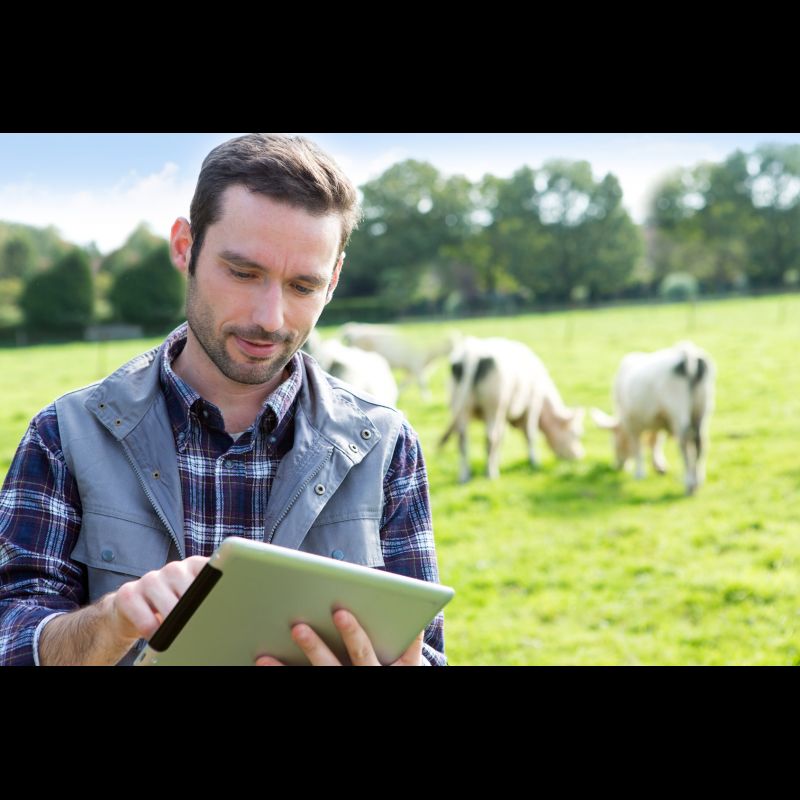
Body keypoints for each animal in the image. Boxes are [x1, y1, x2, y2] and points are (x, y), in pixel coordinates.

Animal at [440, 336, 584, 482]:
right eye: (576, 434)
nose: (579, 455)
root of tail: (472, 353)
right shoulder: (533, 404)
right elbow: (530, 434)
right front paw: (534, 461)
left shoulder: (504, 413)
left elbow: (502, 437)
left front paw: (498, 460)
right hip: (492, 406)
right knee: (490, 437)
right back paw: (491, 473)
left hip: (460, 406)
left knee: (462, 439)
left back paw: (465, 476)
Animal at [592, 340, 716, 494]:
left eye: (613, 440)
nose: (618, 466)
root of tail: (688, 354)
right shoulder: (658, 417)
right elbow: (655, 441)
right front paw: (659, 467)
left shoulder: (632, 423)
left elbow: (638, 446)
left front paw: (640, 473)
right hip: (702, 408)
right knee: (700, 441)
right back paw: (699, 481)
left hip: (677, 407)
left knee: (685, 441)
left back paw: (690, 484)